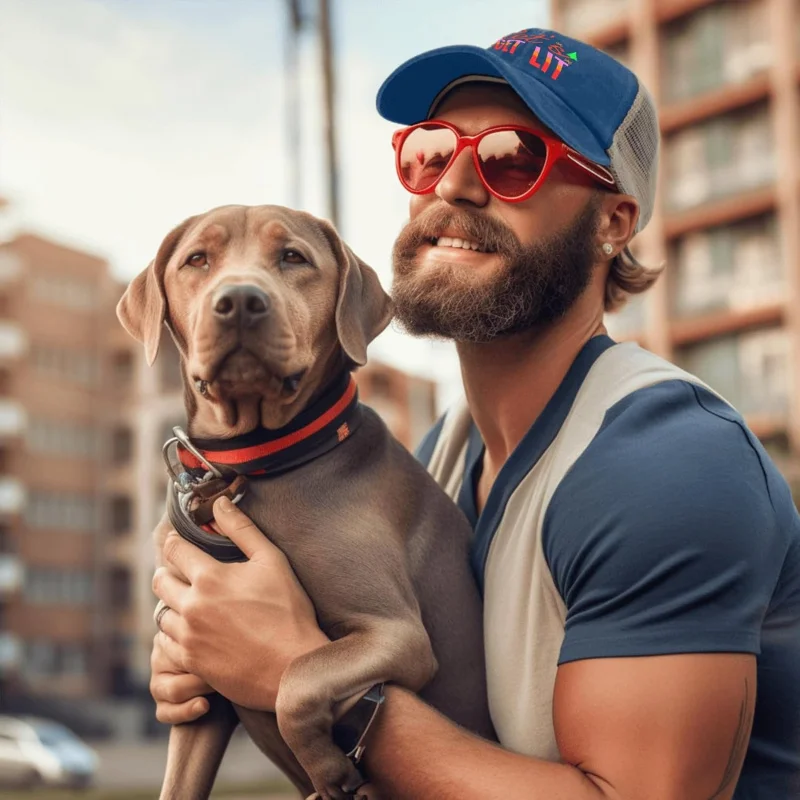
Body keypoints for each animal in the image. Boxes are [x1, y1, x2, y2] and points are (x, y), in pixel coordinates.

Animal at [117, 205, 494, 800]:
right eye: (197, 259)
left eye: (293, 257)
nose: (240, 300)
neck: (254, 466)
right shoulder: (198, 692)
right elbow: (178, 783)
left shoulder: (397, 635)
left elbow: (296, 681)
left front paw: (329, 769)